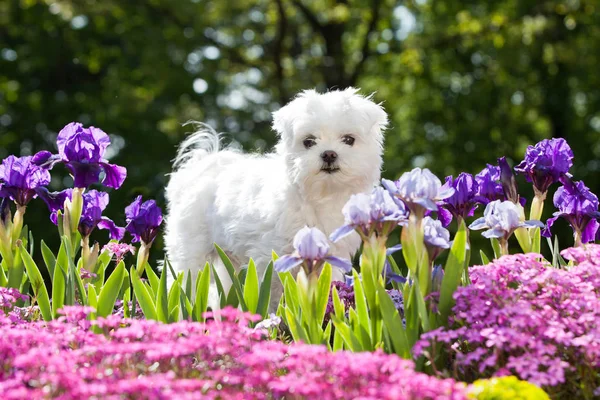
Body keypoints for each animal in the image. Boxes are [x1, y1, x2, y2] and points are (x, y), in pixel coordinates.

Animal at [164, 87, 390, 310]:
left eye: (349, 139)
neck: (321, 196)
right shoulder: (271, 259)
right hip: (191, 249)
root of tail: (200, 167)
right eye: (308, 141)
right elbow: (273, 296)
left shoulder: (328, 258)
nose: (329, 154)